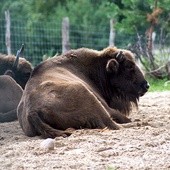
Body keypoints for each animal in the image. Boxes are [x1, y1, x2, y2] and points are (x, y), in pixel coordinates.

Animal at [17, 46, 149, 138]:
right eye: (129, 66)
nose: (146, 85)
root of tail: (32, 111)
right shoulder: (107, 107)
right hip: (88, 95)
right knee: (112, 124)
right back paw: (140, 123)